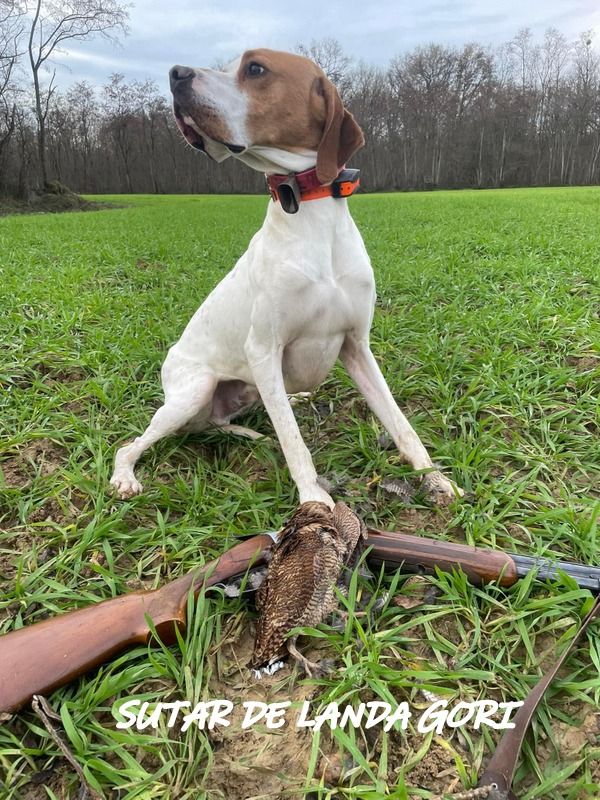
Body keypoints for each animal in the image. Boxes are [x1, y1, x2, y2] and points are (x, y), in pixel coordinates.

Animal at [109, 48, 464, 506]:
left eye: (255, 68)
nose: (175, 74)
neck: (314, 219)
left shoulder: (357, 346)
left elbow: (401, 424)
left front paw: (435, 479)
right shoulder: (264, 349)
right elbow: (296, 445)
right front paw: (315, 503)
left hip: (245, 389)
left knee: (230, 420)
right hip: (195, 390)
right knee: (133, 444)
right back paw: (125, 476)